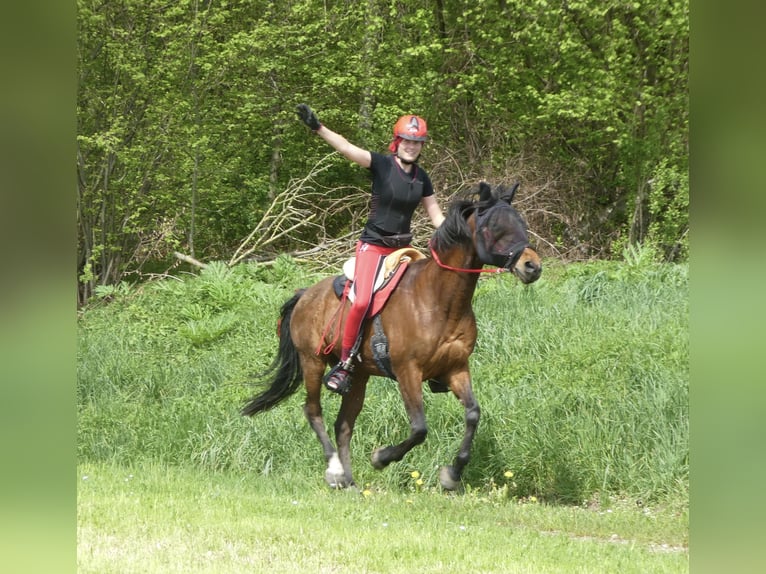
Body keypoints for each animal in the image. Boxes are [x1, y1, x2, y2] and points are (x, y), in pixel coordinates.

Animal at [241, 181, 542, 490]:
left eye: (521, 224)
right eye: (494, 227)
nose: (532, 266)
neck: (439, 300)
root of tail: (305, 295)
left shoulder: (456, 368)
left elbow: (473, 414)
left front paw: (451, 474)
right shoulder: (407, 370)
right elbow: (419, 428)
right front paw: (381, 458)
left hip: (359, 376)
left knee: (343, 425)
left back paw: (350, 482)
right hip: (312, 362)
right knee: (313, 411)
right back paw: (335, 471)